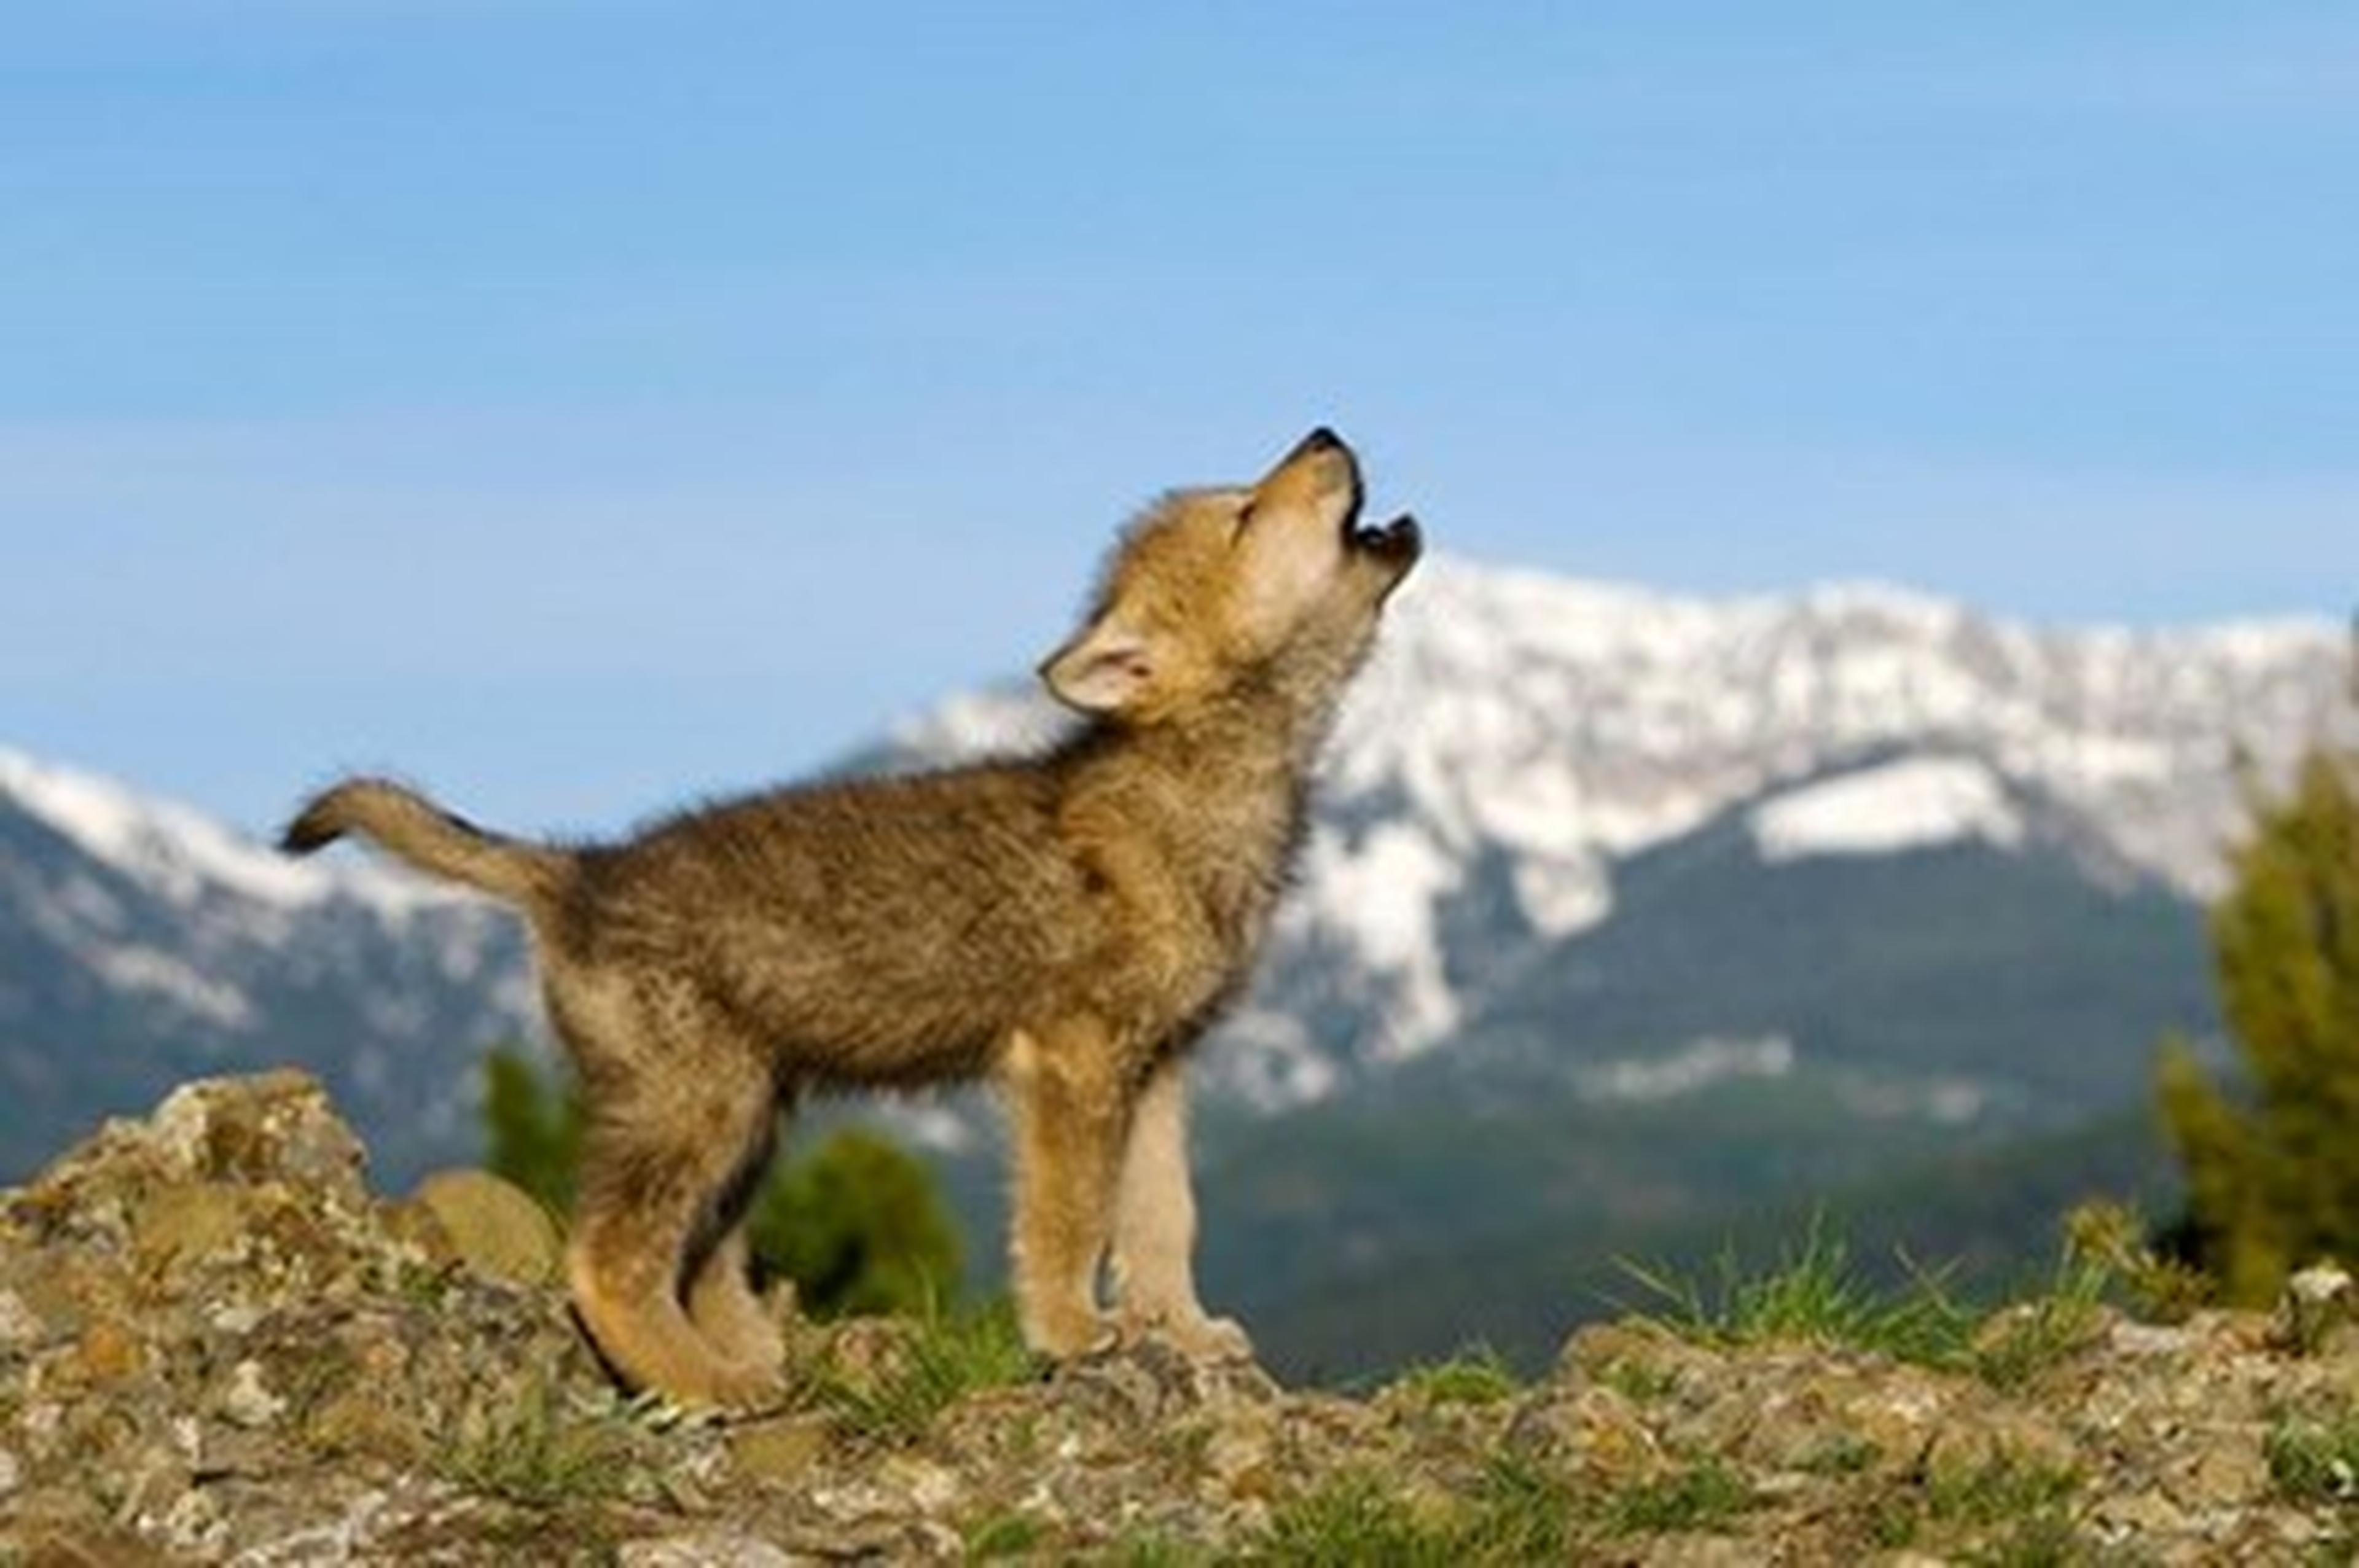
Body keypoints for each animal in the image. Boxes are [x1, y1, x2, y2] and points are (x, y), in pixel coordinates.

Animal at [281, 429, 1420, 1408]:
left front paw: (1184, 1331)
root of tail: (579, 869)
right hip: (701, 1108)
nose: (1325, 430)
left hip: (745, 1117)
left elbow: (1162, 1217)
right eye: (1243, 513)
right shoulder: (1073, 1059)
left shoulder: (1159, 1064)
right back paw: (711, 1387)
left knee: (691, 1262)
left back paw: (748, 1358)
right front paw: (1071, 1332)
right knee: (607, 1260)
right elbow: (1070, 1218)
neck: (1205, 779)